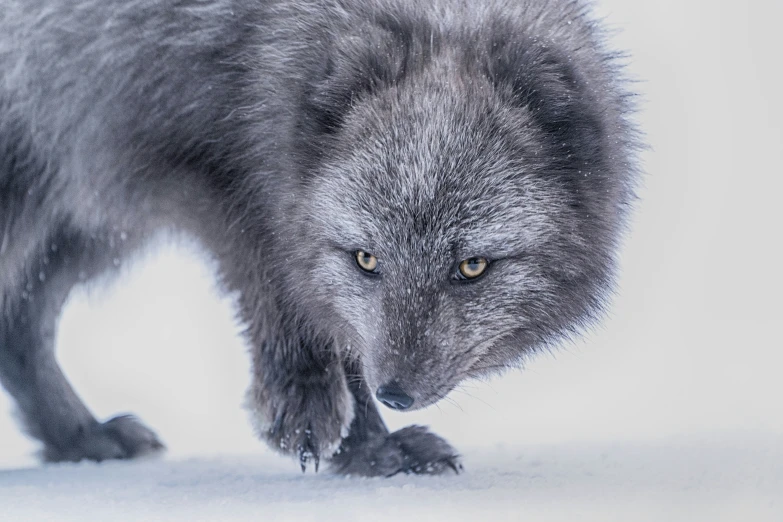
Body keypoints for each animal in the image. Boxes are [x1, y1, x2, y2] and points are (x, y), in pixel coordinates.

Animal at [0, 0, 636, 474]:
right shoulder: (206, 166)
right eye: (366, 259)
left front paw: (370, 450)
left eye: (472, 267)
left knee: (19, 322)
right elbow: (281, 281)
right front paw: (312, 408)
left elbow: (341, 326)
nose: (395, 393)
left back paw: (79, 438)